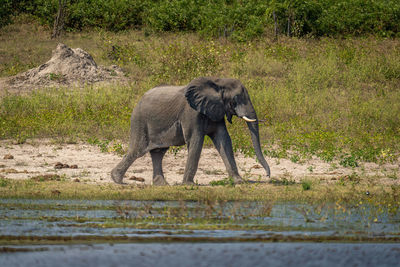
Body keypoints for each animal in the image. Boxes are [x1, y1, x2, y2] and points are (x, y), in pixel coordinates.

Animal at [111, 76, 270, 185]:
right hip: (140, 121)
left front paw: (238, 182)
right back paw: (116, 180)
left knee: (158, 153)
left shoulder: (215, 110)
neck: (217, 82)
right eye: (235, 99)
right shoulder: (191, 113)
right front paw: (189, 184)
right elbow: (196, 140)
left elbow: (224, 139)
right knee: (137, 151)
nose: (268, 176)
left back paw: (162, 185)